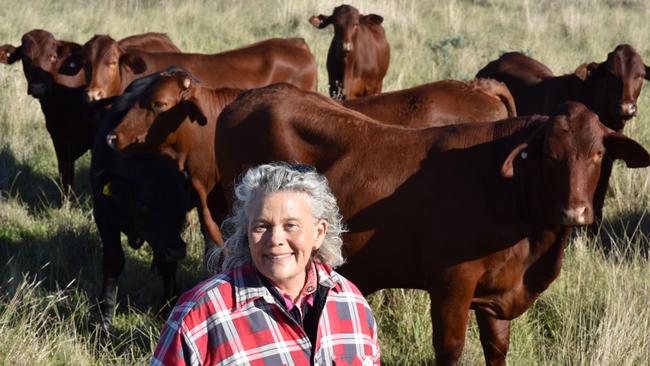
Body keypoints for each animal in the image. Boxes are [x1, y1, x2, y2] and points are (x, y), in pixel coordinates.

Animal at [214, 83, 648, 366]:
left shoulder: (496, 293)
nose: (575, 212)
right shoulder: (452, 283)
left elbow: (497, 348)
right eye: (550, 155)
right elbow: (450, 349)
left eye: (597, 154)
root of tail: (251, 97)